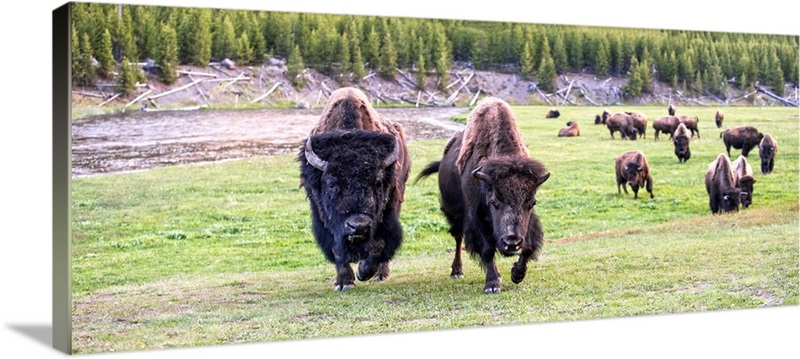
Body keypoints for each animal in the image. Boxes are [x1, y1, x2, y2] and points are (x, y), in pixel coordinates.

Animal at [300, 87, 412, 292]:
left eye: (378, 181)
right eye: (331, 183)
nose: (358, 226)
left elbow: (379, 244)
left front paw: (363, 272)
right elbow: (337, 249)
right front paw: (344, 282)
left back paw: (381, 275)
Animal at [412, 96, 552, 296]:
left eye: (532, 202)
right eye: (494, 202)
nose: (511, 243)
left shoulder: (528, 224)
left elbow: (529, 247)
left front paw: (517, 274)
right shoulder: (476, 219)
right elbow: (486, 250)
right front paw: (492, 285)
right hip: (454, 214)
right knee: (458, 238)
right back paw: (457, 271)